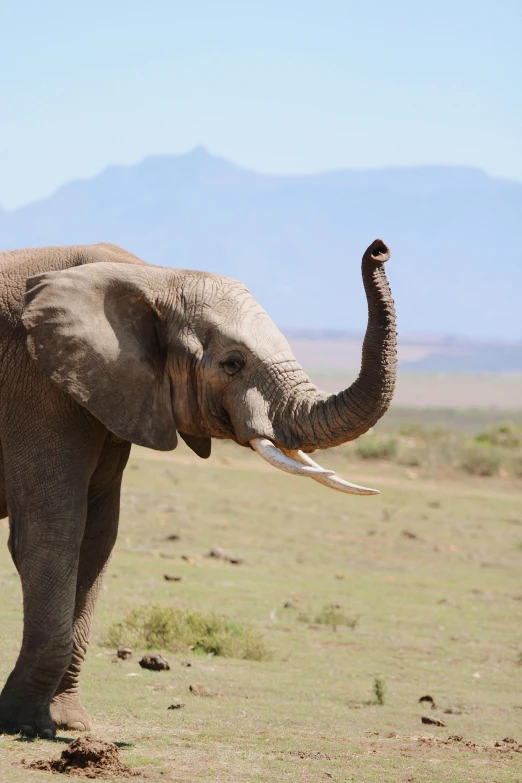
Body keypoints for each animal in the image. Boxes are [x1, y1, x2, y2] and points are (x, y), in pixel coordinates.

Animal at [0, 240, 392, 740]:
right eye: (232, 364)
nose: (378, 249)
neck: (154, 276)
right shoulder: (35, 385)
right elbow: (50, 534)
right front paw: (25, 724)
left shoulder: (113, 398)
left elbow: (97, 538)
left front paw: (71, 724)